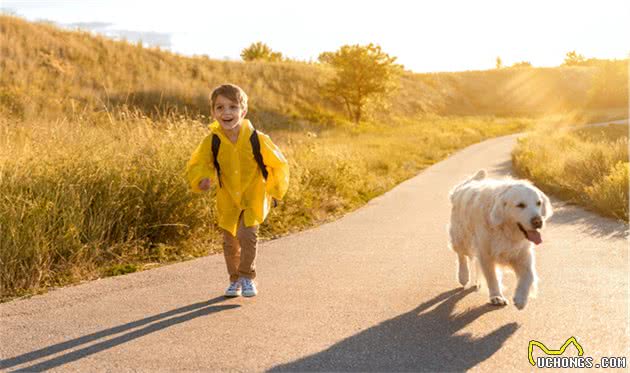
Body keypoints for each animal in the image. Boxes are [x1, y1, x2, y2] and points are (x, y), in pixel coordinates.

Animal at [450, 169, 552, 308]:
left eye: (538, 203)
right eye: (520, 205)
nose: (538, 221)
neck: (505, 229)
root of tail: (467, 183)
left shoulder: (522, 254)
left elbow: (529, 275)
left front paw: (521, 298)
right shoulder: (486, 253)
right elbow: (492, 277)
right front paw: (496, 296)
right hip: (461, 236)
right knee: (461, 255)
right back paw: (463, 276)